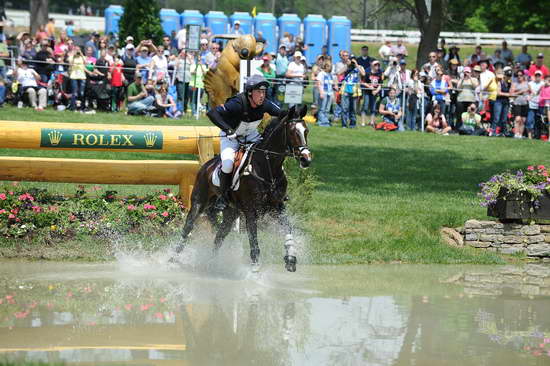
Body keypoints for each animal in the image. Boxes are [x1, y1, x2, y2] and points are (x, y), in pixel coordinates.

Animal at [175, 104, 312, 270]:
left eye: (306, 131)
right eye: (293, 132)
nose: (306, 160)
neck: (267, 167)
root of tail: (207, 166)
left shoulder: (278, 207)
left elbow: (288, 230)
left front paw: (291, 258)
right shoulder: (251, 210)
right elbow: (254, 245)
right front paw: (255, 271)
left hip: (231, 213)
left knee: (219, 237)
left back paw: (211, 264)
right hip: (198, 203)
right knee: (187, 228)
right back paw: (172, 259)